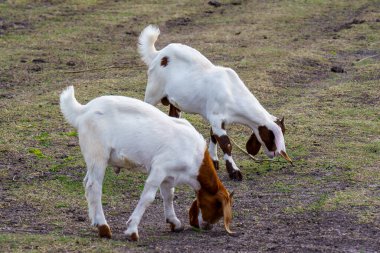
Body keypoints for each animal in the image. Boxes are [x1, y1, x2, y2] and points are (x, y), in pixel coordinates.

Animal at [59, 86, 233, 241]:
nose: (207, 226)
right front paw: (132, 230)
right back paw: (104, 228)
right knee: (94, 187)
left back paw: (96, 222)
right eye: (218, 207)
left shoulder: (169, 175)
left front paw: (174, 222)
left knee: (87, 183)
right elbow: (148, 197)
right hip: (98, 155)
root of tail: (84, 110)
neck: (195, 155)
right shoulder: (159, 168)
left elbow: (168, 195)